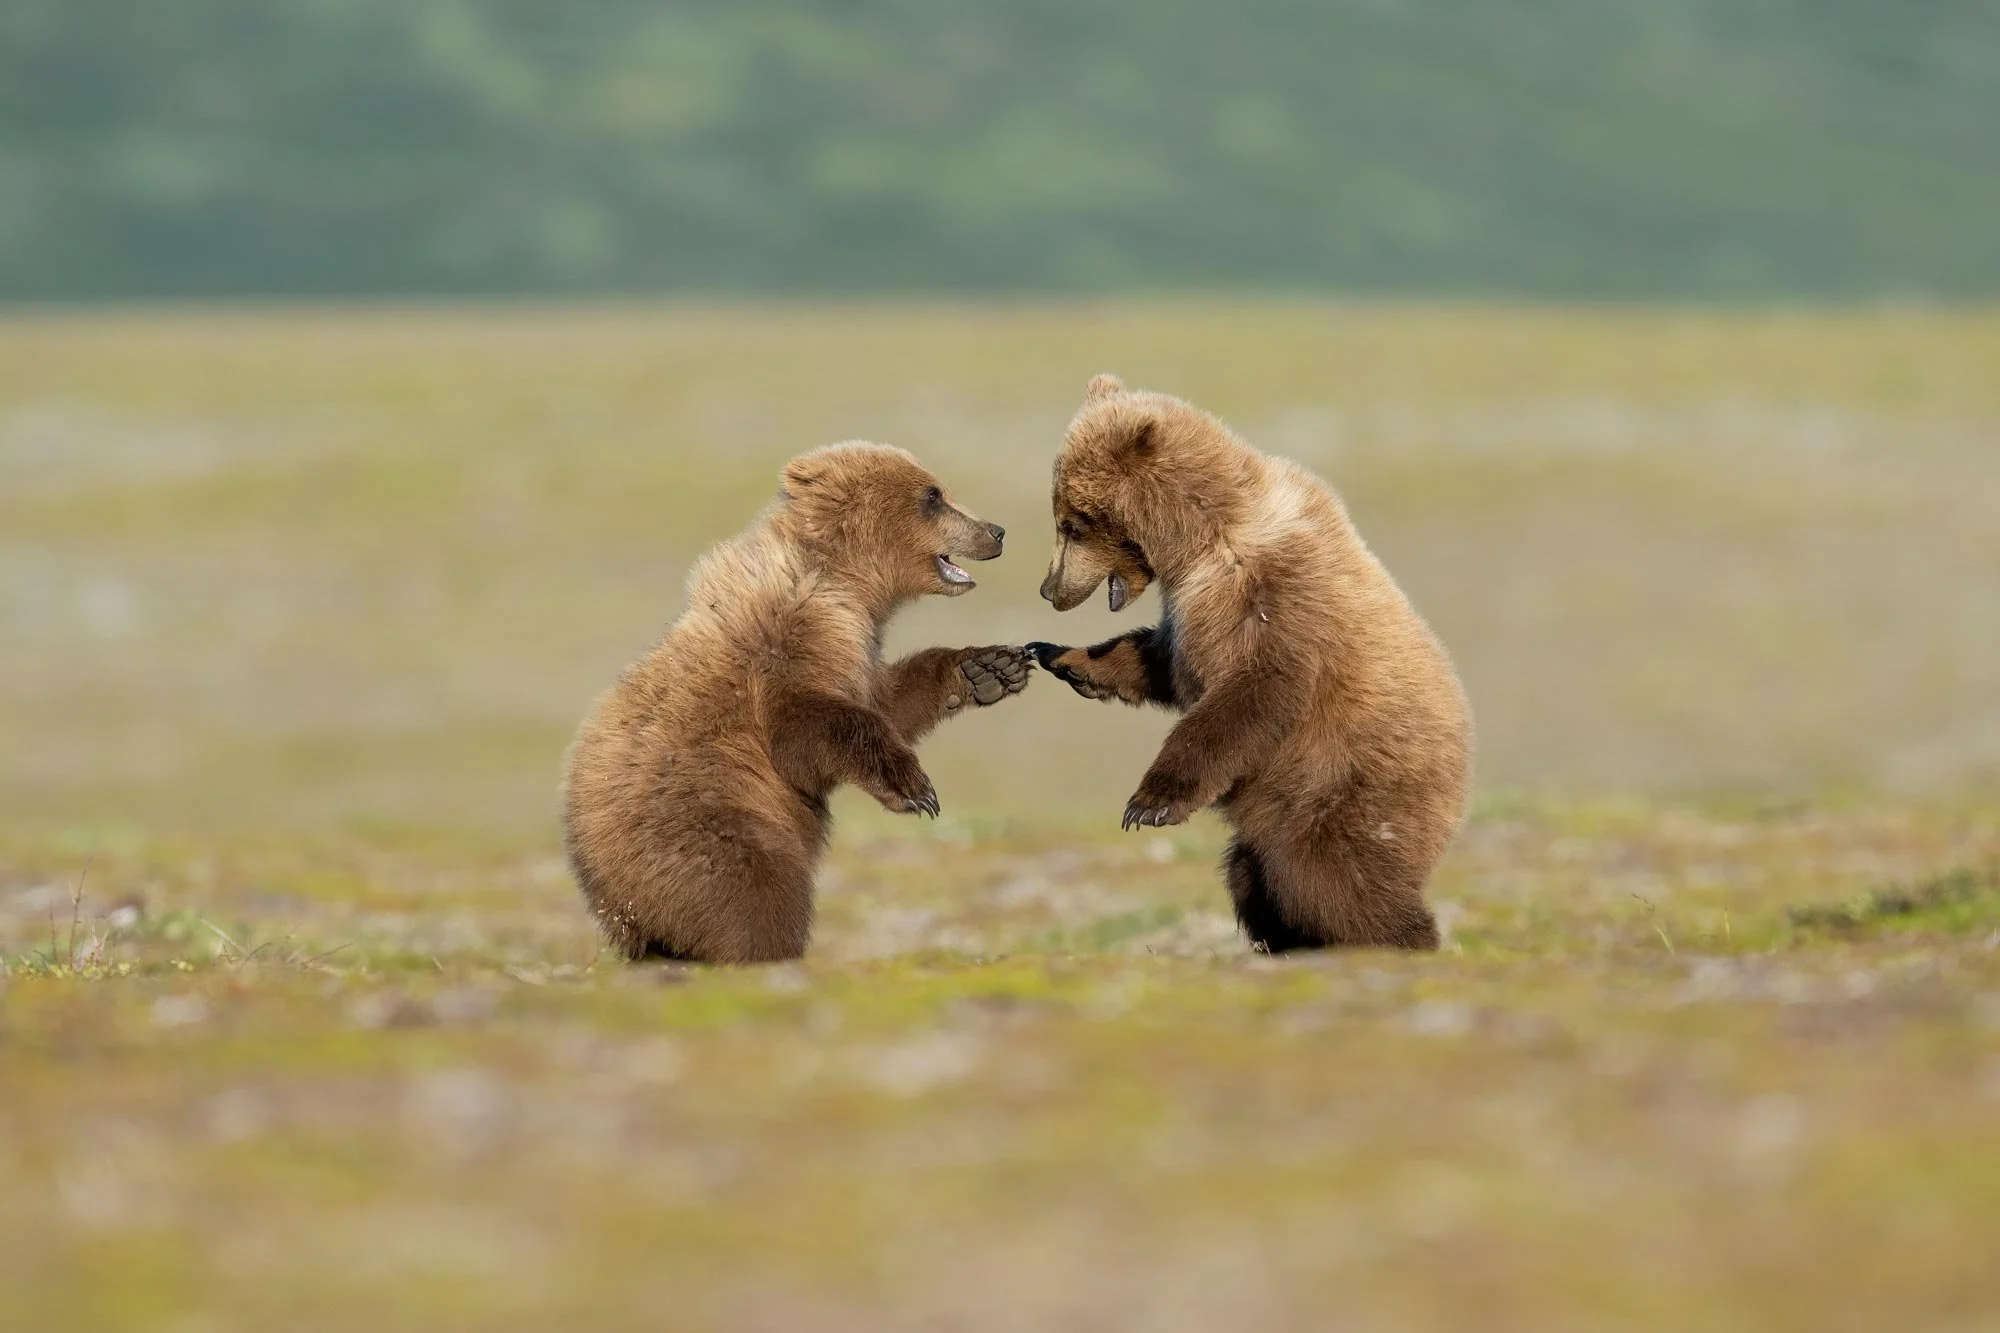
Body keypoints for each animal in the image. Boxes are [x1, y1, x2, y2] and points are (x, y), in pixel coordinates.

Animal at [563, 442, 1032, 964]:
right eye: (933, 495)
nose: (996, 531)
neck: (842, 584)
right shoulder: (787, 646)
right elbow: (813, 730)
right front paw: (915, 789)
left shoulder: (850, 649)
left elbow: (887, 699)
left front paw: (989, 669)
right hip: (711, 832)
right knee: (759, 900)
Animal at [1026, 374, 1471, 952]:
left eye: (1072, 523)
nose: (1049, 587)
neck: (1199, 540)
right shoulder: (1194, 607)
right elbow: (1162, 661)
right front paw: (1062, 656)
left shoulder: (1276, 598)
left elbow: (1251, 693)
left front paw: (1149, 803)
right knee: (1253, 876)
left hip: (1345, 785)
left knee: (1325, 876)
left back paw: (1400, 937)